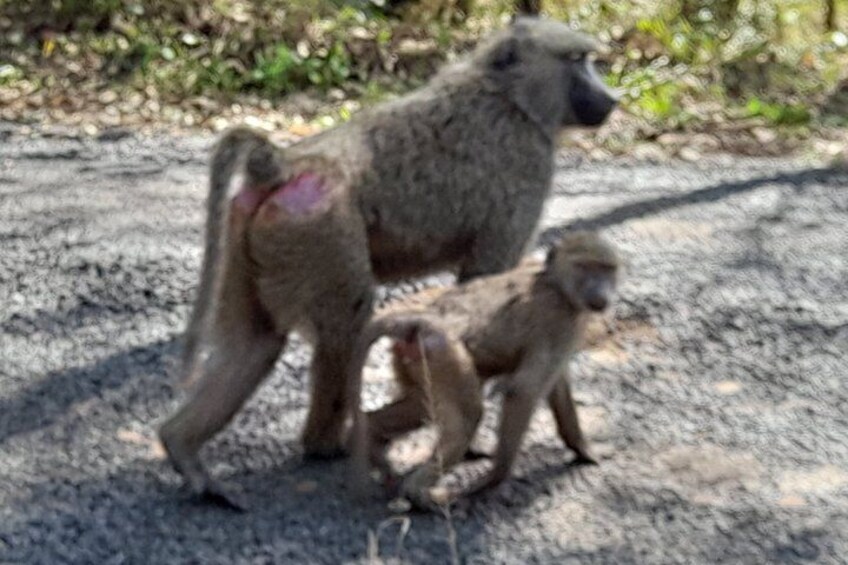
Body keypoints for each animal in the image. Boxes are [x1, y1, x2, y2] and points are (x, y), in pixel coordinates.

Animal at [347, 231, 620, 509]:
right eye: (584, 267)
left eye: (607, 269)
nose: (600, 292)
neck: (555, 281)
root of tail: (418, 319)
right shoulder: (559, 319)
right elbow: (524, 390)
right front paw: (493, 479)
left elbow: (557, 386)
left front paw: (583, 449)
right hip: (443, 351)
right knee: (467, 418)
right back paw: (421, 493)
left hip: (415, 358)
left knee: (419, 408)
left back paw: (376, 442)